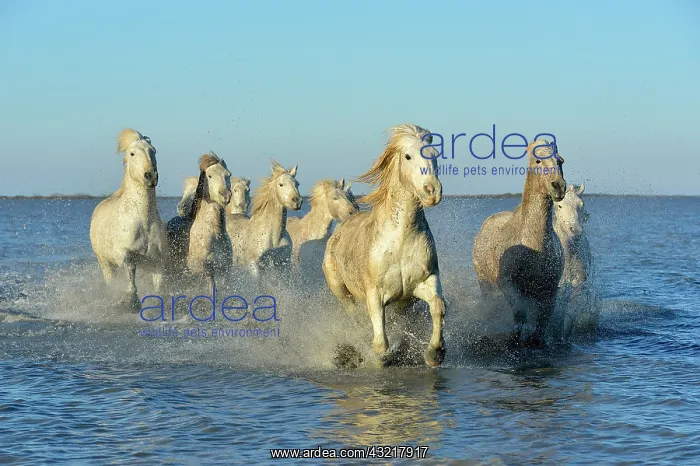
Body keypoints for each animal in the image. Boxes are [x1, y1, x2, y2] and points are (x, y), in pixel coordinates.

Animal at [89, 128, 167, 310]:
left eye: (153, 151)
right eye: (132, 153)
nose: (150, 175)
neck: (143, 221)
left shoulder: (157, 259)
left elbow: (158, 283)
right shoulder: (122, 254)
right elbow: (131, 269)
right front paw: (131, 300)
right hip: (105, 263)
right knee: (111, 280)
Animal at [166, 152, 232, 291]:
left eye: (228, 174)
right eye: (210, 176)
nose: (225, 195)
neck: (215, 232)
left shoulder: (225, 270)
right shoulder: (205, 270)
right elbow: (212, 288)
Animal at [322, 123, 446, 367]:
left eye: (435, 154)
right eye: (408, 156)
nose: (432, 192)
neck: (400, 241)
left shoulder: (425, 281)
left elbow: (438, 305)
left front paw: (434, 353)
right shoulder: (375, 295)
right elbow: (380, 344)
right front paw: (379, 361)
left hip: (401, 305)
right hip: (341, 290)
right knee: (353, 315)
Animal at [471, 139, 566, 346]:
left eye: (560, 160)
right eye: (538, 161)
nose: (558, 186)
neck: (535, 243)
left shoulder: (548, 291)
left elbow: (541, 323)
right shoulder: (509, 285)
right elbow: (519, 315)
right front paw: (513, 342)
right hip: (485, 283)